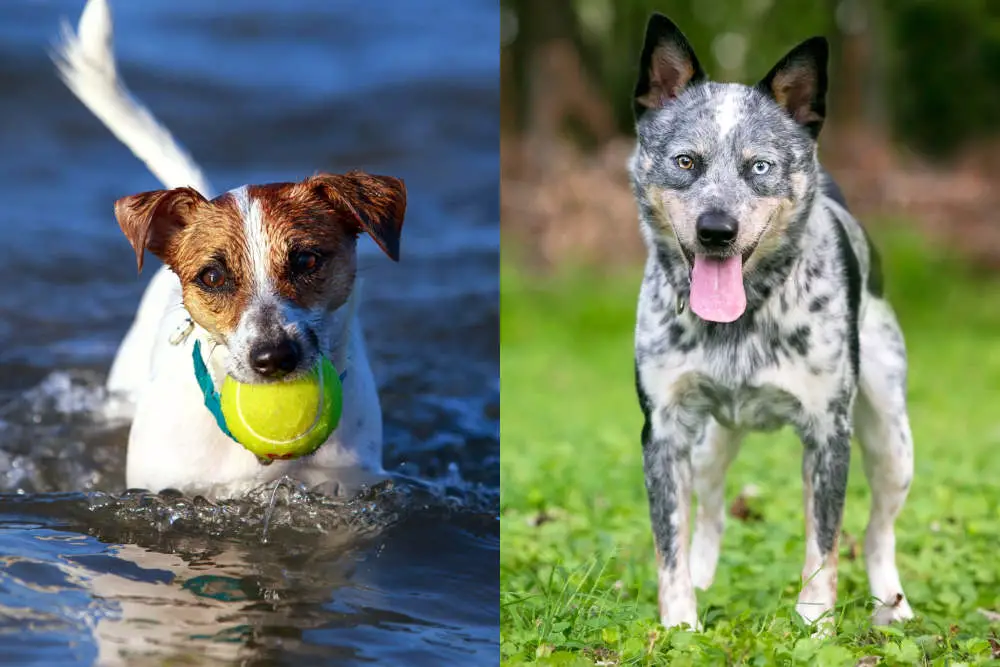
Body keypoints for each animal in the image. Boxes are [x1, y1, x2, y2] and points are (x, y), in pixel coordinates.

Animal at [632, 14, 916, 632]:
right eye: (686, 162)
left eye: (759, 167)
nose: (717, 229)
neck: (739, 324)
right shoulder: (664, 430)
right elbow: (669, 544)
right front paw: (680, 627)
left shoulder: (829, 433)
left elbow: (824, 545)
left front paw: (815, 625)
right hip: (710, 443)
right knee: (712, 513)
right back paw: (705, 577)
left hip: (891, 439)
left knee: (878, 530)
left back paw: (893, 603)